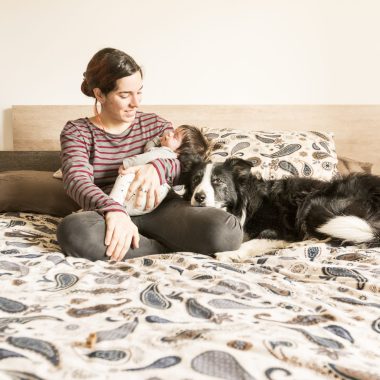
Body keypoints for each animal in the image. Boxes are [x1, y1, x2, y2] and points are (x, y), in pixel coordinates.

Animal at [184, 157, 380, 262]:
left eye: (218, 181)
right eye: (195, 180)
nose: (199, 197)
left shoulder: (277, 229)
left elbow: (251, 242)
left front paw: (231, 253)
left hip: (314, 203)